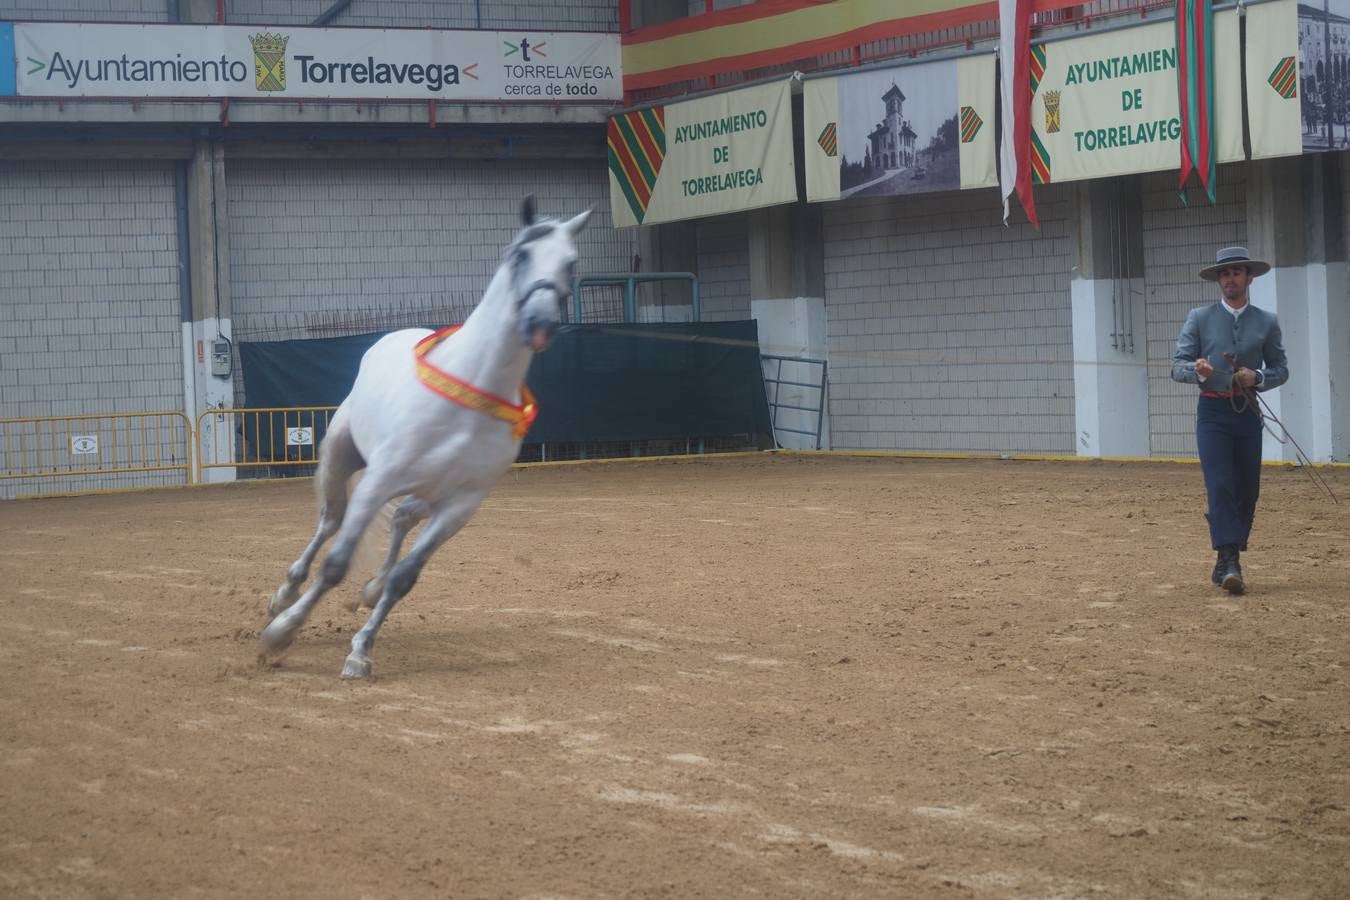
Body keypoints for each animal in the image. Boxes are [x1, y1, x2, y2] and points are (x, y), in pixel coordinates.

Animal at [260, 195, 588, 674]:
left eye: (570, 262)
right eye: (520, 255)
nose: (540, 324)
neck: (472, 392)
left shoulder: (458, 507)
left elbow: (405, 578)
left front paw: (361, 651)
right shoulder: (379, 482)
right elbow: (336, 564)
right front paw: (281, 633)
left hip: (426, 493)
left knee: (401, 518)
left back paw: (371, 588)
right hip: (344, 460)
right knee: (330, 523)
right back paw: (285, 594)